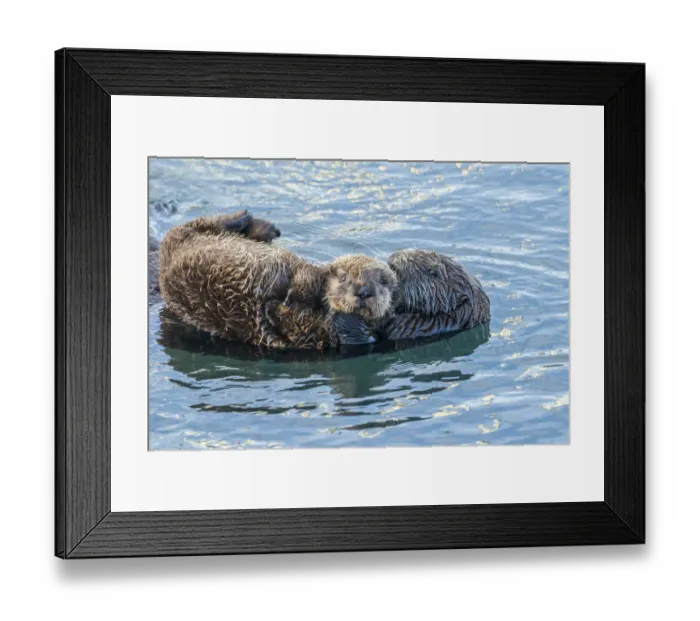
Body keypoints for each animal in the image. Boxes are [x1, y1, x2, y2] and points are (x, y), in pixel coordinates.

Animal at [158, 211, 396, 350]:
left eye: (383, 282)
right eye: (344, 277)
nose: (364, 291)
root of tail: (166, 262)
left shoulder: (306, 334)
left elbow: (283, 318)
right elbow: (299, 283)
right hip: (184, 237)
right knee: (195, 225)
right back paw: (252, 222)